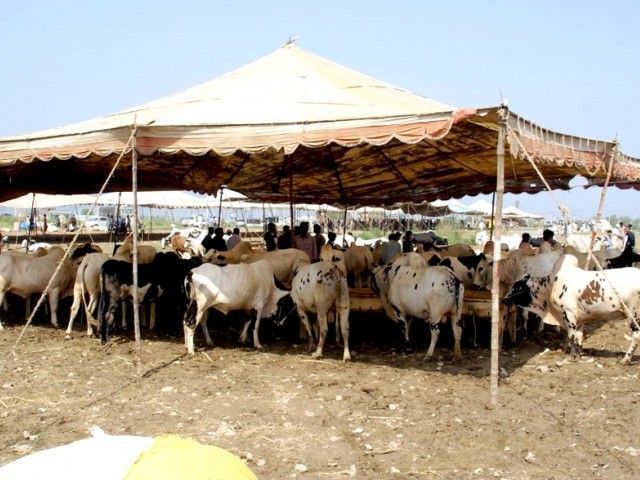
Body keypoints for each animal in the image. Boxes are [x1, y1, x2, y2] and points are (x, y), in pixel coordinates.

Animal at [504, 255, 640, 364]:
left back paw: (625, 359)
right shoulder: (579, 319)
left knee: (636, 336)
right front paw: (578, 355)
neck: (549, 287)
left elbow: (571, 336)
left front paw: (570, 357)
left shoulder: (569, 315)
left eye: (516, 287)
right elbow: (578, 337)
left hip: (632, 315)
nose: (503, 299)